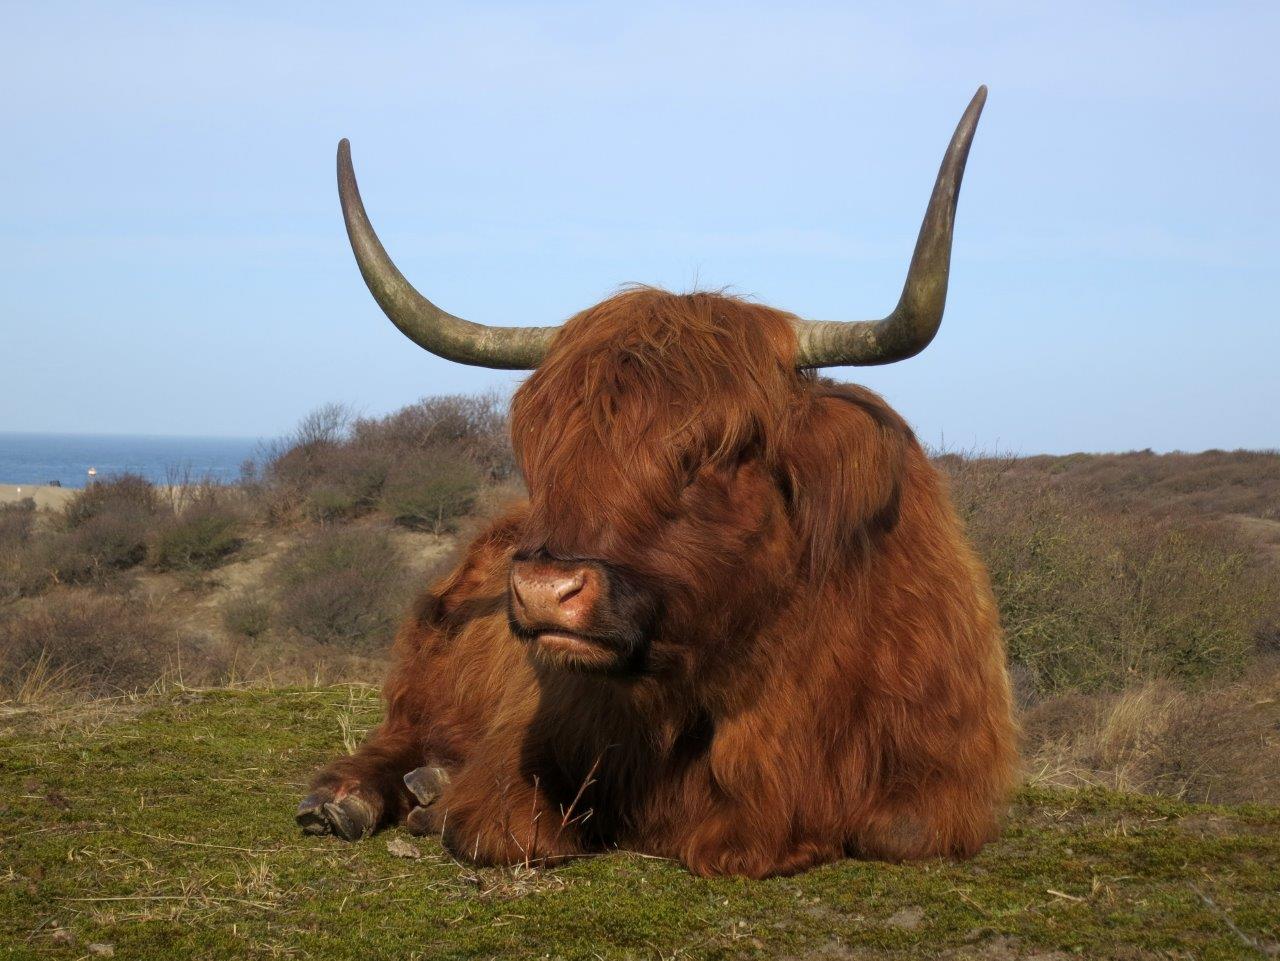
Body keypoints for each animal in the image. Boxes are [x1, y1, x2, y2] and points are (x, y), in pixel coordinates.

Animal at [299, 86, 1018, 875]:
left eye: (722, 451)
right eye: (545, 448)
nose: (544, 590)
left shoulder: (943, 779)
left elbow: (900, 829)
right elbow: (498, 826)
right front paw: (440, 805)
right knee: (396, 733)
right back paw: (351, 798)